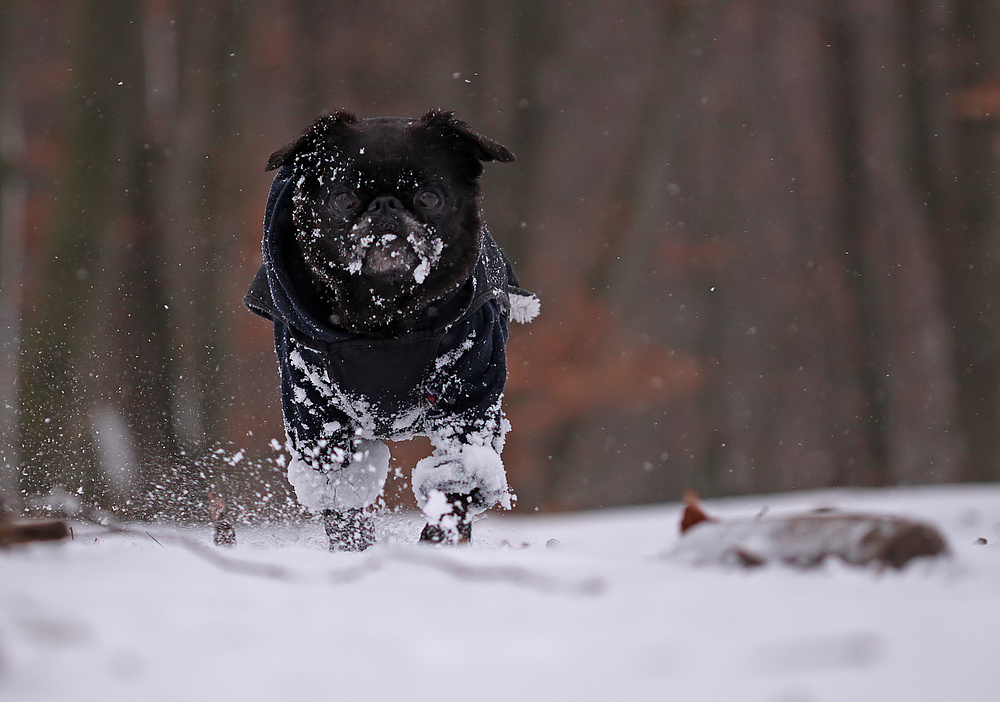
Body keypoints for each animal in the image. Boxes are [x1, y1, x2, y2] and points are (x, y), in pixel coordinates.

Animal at [243, 111, 540, 552]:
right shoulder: (314, 411)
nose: (385, 205)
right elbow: (342, 501)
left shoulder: (468, 401)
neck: (384, 319)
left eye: (429, 197)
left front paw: (439, 542)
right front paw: (353, 551)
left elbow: (457, 484)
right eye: (343, 198)